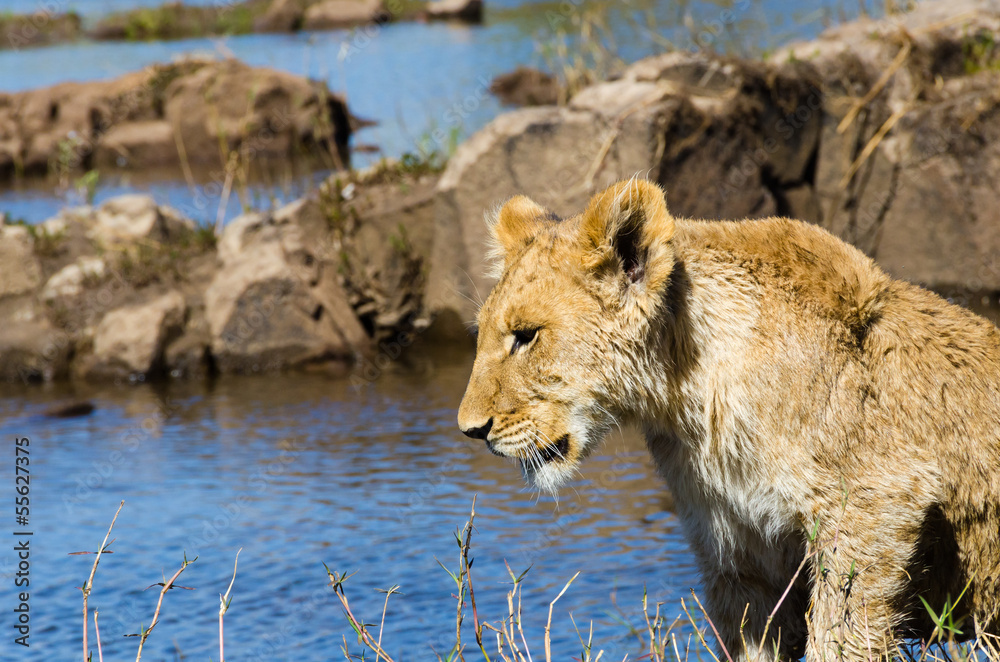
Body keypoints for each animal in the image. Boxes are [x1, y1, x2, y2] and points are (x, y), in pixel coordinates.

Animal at [457, 179, 1000, 661]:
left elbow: (842, 633)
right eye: (483, 333)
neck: (690, 403)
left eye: (526, 335)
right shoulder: (738, 549)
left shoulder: (876, 504)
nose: (471, 429)